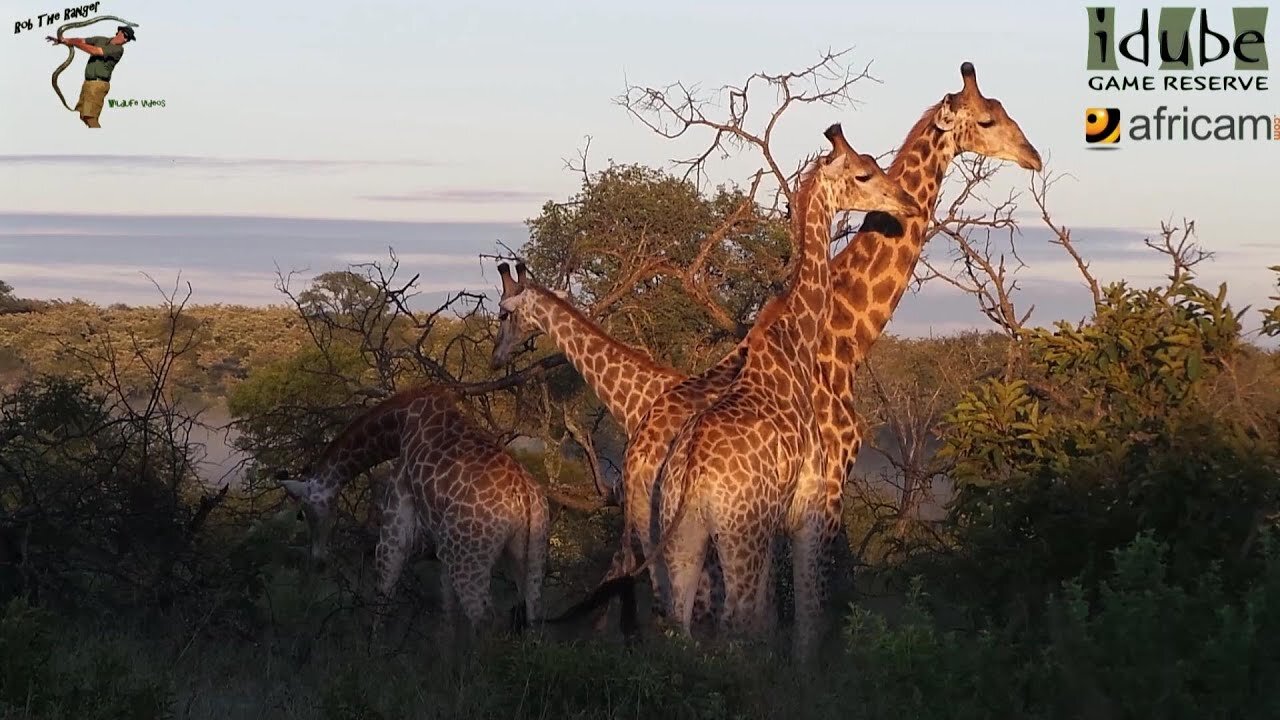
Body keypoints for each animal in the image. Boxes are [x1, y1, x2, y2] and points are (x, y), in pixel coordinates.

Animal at [276, 384, 550, 630]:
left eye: (303, 513)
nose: (317, 561)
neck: (398, 424)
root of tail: (524, 496)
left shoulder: (396, 517)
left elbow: (384, 590)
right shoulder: (443, 546)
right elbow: (447, 617)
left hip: (470, 558)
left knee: (486, 621)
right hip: (529, 553)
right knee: (532, 617)